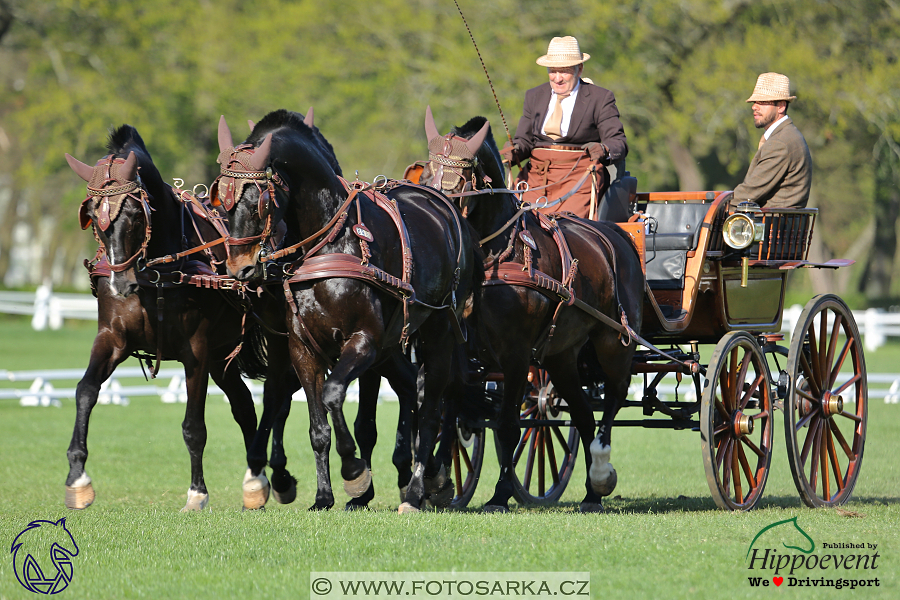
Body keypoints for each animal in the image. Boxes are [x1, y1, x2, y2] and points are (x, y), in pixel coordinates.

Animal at [64, 126, 296, 510]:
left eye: (135, 213)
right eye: (94, 216)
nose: (119, 284)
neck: (154, 273)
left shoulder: (196, 350)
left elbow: (194, 426)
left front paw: (197, 492)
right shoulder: (113, 338)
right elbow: (85, 391)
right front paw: (77, 478)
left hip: (273, 340)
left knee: (278, 394)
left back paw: (276, 474)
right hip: (222, 354)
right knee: (245, 406)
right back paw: (255, 479)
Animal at [218, 110, 482, 512]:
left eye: (259, 201)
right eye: (220, 200)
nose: (241, 269)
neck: (330, 244)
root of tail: (445, 205)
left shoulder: (363, 341)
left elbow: (333, 394)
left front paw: (355, 473)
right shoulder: (302, 349)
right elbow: (317, 426)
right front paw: (324, 496)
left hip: (440, 331)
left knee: (431, 408)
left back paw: (418, 488)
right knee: (413, 392)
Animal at [418, 108, 644, 510]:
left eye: (465, 174)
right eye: (427, 170)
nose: (438, 207)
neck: (490, 258)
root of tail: (616, 235)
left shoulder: (516, 353)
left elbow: (508, 425)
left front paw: (500, 492)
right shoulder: (461, 349)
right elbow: (452, 407)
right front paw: (440, 479)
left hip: (614, 341)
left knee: (614, 398)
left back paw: (601, 472)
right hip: (562, 356)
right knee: (584, 416)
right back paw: (590, 493)